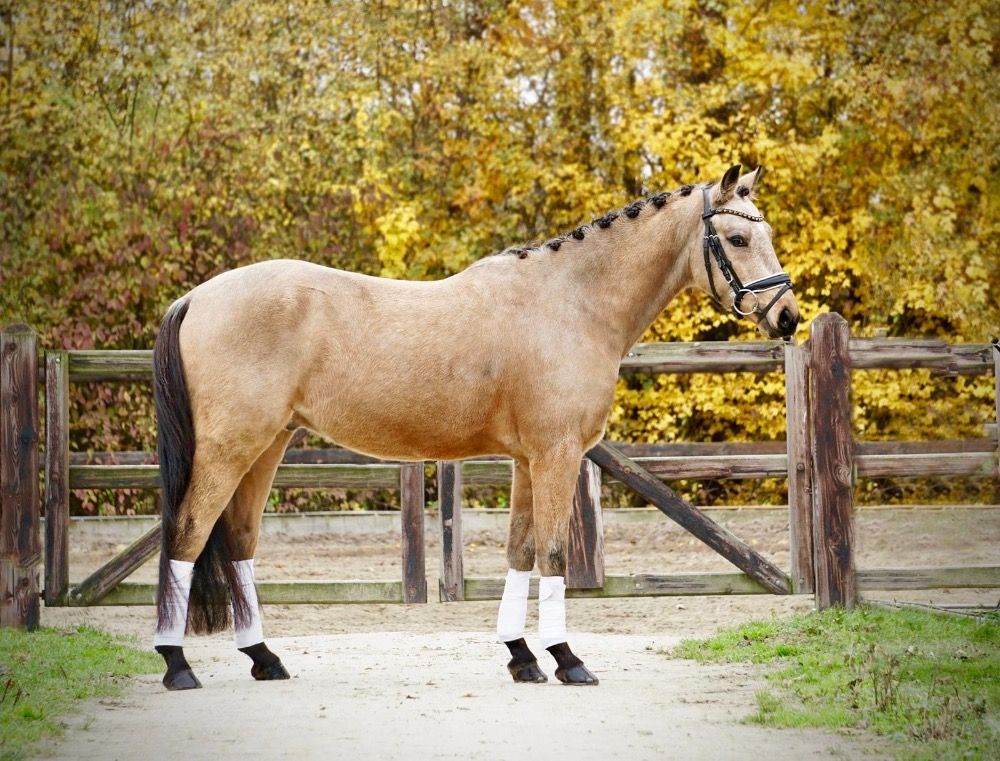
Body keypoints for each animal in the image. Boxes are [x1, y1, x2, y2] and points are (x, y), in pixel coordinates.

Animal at [151, 164, 799, 690]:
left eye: (764, 234)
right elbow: (553, 554)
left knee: (237, 540)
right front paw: (568, 659)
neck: (571, 303)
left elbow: (520, 551)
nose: (789, 317)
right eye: (738, 238)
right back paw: (177, 665)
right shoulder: (557, 454)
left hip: (267, 446)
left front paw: (522, 657)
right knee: (187, 533)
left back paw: (264, 657)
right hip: (229, 448)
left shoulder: (527, 460)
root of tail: (196, 298)